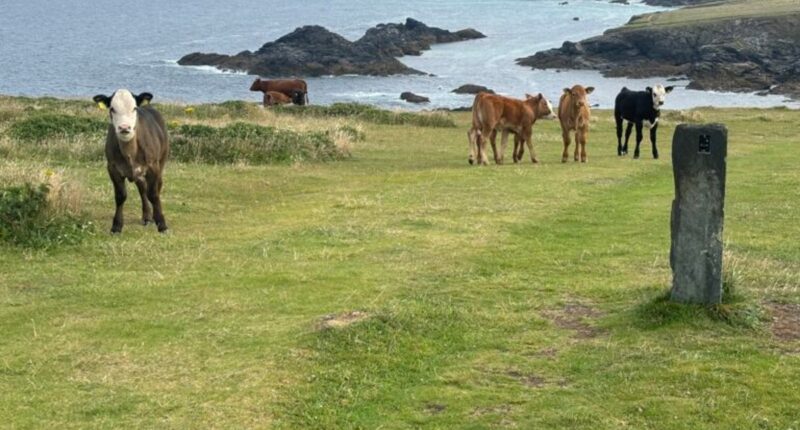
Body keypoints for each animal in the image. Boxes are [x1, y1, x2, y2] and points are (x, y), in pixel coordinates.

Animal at [93, 89, 169, 233]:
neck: (130, 152)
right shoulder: (112, 168)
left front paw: (162, 224)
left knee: (157, 187)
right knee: (142, 188)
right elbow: (120, 196)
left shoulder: (153, 166)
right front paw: (116, 226)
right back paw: (146, 216)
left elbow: (153, 194)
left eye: (134, 108)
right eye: (112, 108)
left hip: (162, 160)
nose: (124, 127)